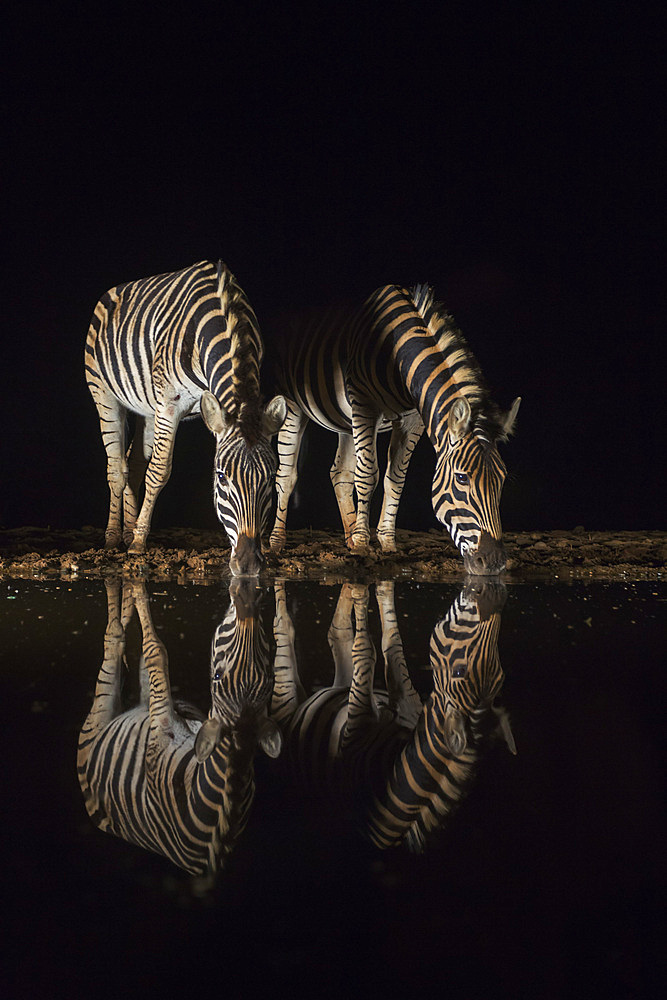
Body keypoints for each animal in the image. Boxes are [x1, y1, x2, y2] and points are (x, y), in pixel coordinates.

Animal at [77, 576, 280, 880]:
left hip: (96, 724)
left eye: (217, 676)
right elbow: (151, 656)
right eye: (269, 678)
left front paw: (137, 589)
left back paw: (123, 587)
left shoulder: (158, 734)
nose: (247, 601)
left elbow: (154, 650)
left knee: (115, 639)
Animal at [85, 262, 286, 576]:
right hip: (104, 394)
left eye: (270, 477)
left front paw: (137, 535)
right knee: (117, 468)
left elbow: (149, 467)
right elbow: (159, 471)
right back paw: (114, 539)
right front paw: (139, 544)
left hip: (147, 407)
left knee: (134, 462)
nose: (248, 563)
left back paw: (129, 530)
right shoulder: (169, 403)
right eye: (221, 477)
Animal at [268, 286, 520, 576]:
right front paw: (364, 544)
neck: (398, 357)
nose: (494, 563)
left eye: (501, 479)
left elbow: (395, 479)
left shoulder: (412, 420)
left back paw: (349, 538)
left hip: (346, 418)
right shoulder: (365, 405)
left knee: (339, 473)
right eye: (461, 478)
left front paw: (386, 542)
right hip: (292, 403)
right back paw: (277, 543)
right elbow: (368, 476)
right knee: (286, 476)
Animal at [272, 580, 516, 852]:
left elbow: (371, 648)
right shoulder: (398, 704)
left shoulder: (366, 724)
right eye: (460, 670)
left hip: (314, 695)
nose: (494, 598)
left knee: (317, 630)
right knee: (307, 629)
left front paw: (366, 591)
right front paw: (376, 587)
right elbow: (387, 644)